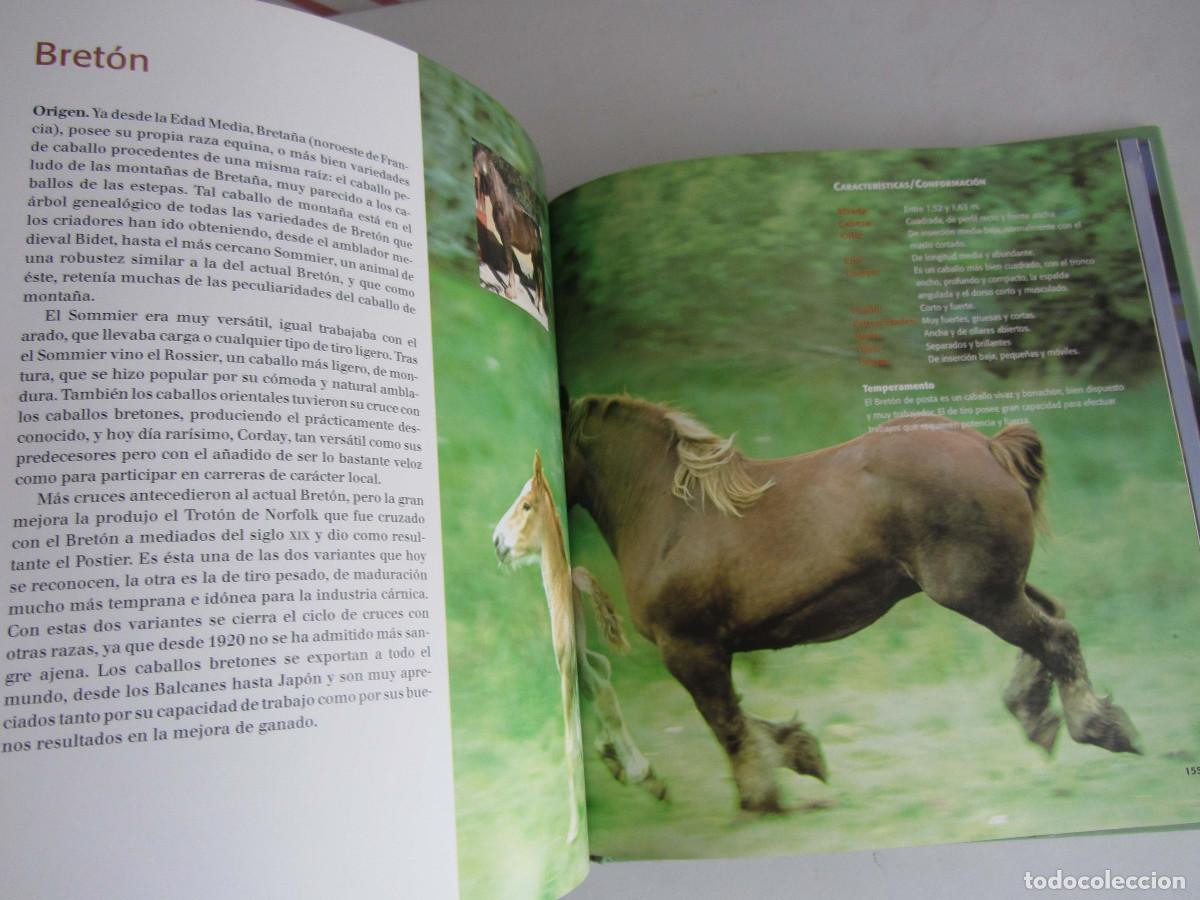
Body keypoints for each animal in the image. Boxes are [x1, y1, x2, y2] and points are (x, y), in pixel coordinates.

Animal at [492, 453, 664, 842]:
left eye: (526, 505)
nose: (497, 542)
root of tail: (575, 579)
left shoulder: (566, 661)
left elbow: (572, 739)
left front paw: (572, 831)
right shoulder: (582, 654)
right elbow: (602, 675)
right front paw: (610, 751)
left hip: (572, 657)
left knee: (599, 691)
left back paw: (637, 772)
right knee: (603, 681)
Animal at [563, 393, 1140, 813]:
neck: (673, 514)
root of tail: (987, 445)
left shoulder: (689, 648)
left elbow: (726, 723)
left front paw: (760, 796)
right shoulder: (707, 652)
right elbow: (741, 718)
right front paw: (799, 751)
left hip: (979, 594)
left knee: (1055, 637)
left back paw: (1099, 727)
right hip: (998, 587)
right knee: (1052, 622)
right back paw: (1038, 717)